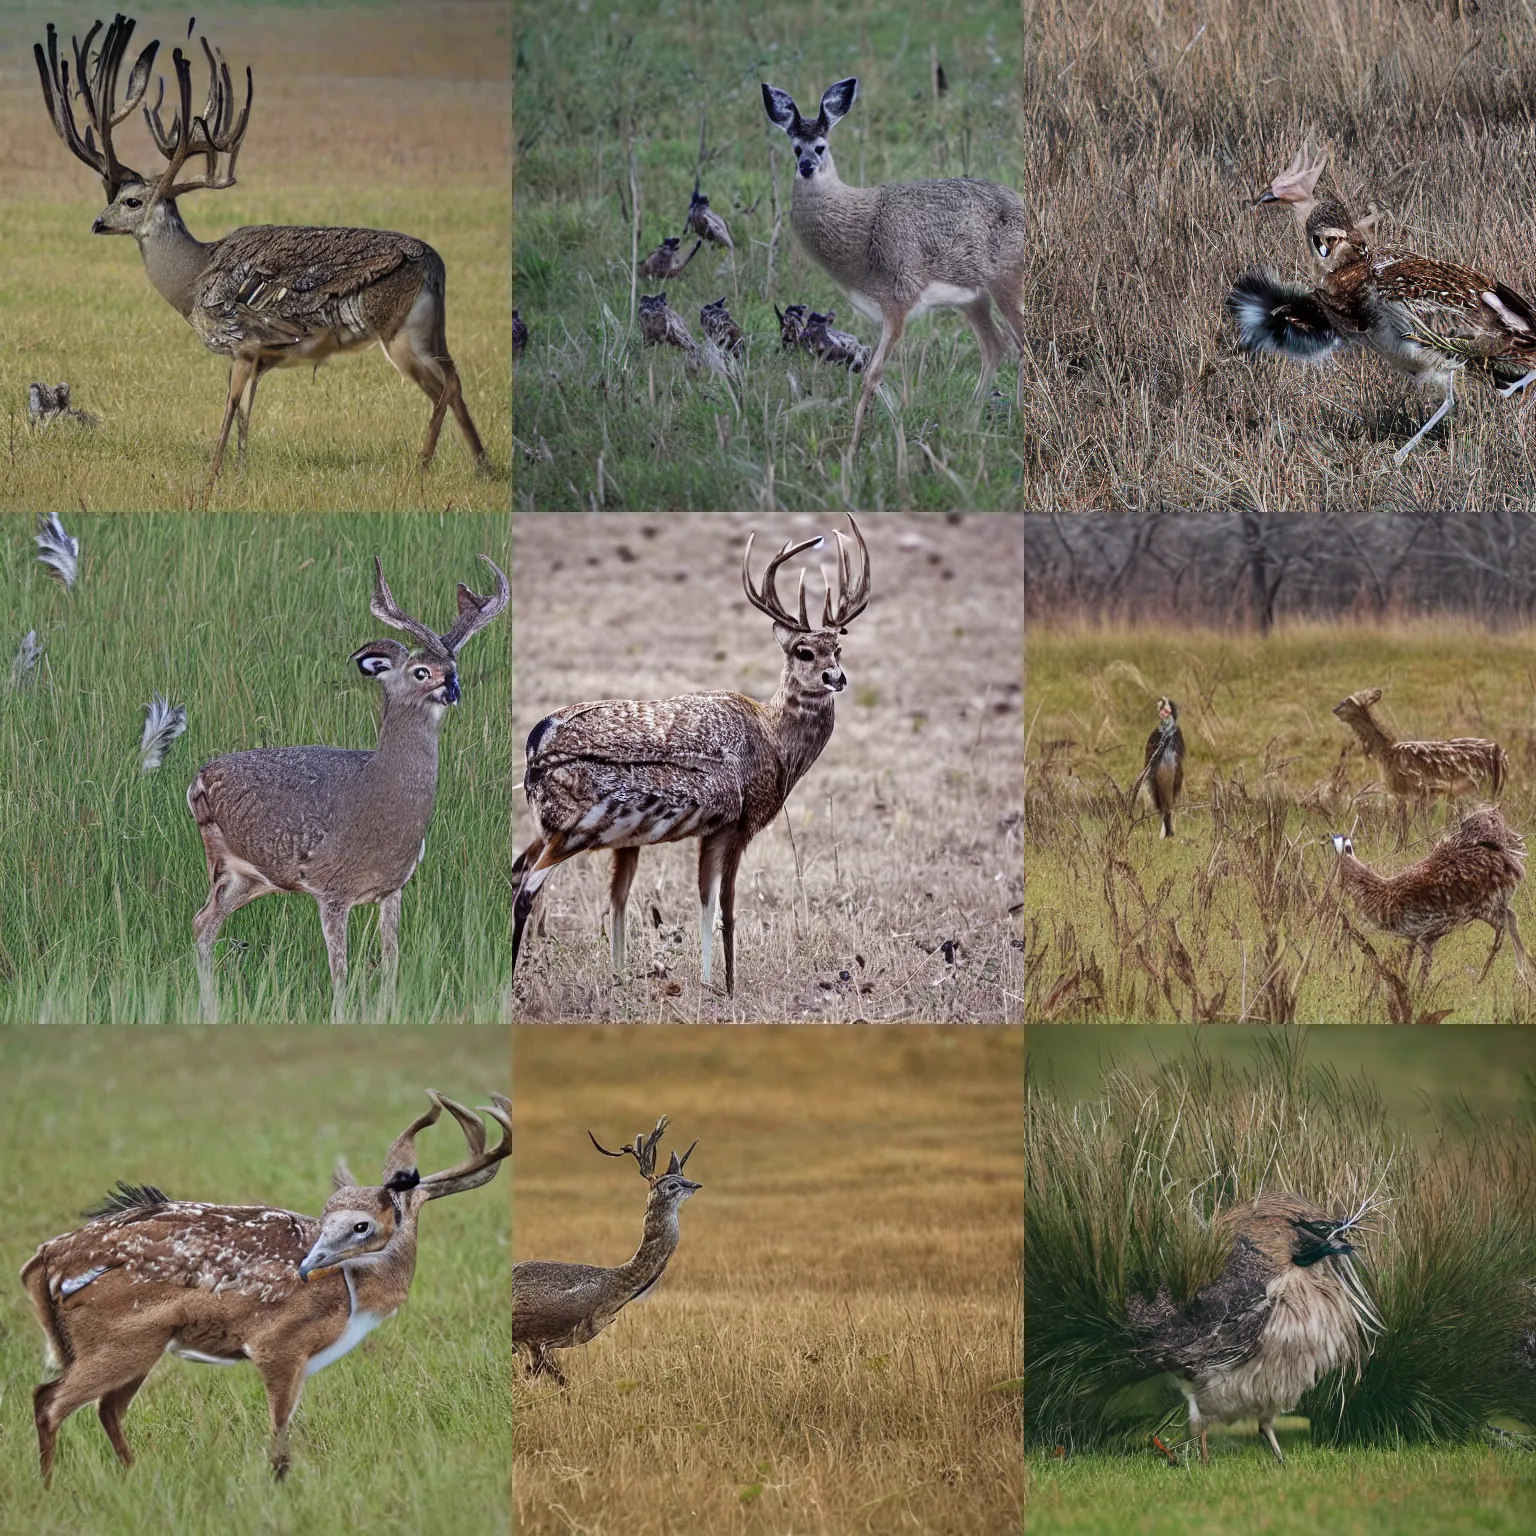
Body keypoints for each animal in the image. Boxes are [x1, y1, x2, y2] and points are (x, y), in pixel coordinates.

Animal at [22, 1090, 510, 1481]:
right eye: (329, 1215)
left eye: (360, 1224)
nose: (308, 1265)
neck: (359, 1293)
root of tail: (46, 1259)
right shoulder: (279, 1343)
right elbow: (278, 1434)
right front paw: (278, 1486)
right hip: (122, 1339)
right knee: (50, 1399)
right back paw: (48, 1488)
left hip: (139, 1344)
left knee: (104, 1408)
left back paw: (132, 1476)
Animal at [36, 14, 489, 482]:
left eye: (131, 201)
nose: (97, 222)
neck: (192, 279)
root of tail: (436, 265)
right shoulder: (259, 360)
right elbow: (246, 415)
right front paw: (238, 469)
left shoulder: (242, 340)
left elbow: (229, 408)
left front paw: (212, 475)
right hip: (429, 330)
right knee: (454, 380)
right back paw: (482, 466)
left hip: (398, 331)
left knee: (447, 385)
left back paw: (424, 464)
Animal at [187, 554, 507, 1022]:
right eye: (421, 671)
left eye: (454, 669)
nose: (454, 689)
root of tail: (200, 776)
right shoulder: (331, 889)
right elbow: (341, 973)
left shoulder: (393, 886)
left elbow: (392, 962)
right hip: (223, 859)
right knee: (202, 923)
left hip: (251, 877)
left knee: (203, 923)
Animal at [510, 516, 871, 998]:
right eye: (803, 651)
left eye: (838, 648)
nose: (837, 677)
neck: (775, 742)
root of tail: (535, 743)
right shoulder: (740, 821)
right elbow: (727, 909)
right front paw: (732, 987)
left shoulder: (711, 830)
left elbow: (704, 901)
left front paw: (706, 983)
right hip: (577, 826)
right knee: (528, 886)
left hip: (556, 827)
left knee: (518, 868)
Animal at [761, 77, 1027, 449]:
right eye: (796, 148)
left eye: (822, 146)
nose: (807, 167)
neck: (861, 228)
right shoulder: (877, 313)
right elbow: (873, 375)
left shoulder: (898, 301)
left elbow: (872, 376)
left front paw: (854, 443)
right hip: (973, 300)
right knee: (996, 347)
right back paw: (972, 421)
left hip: (1006, 283)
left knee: (1024, 345)